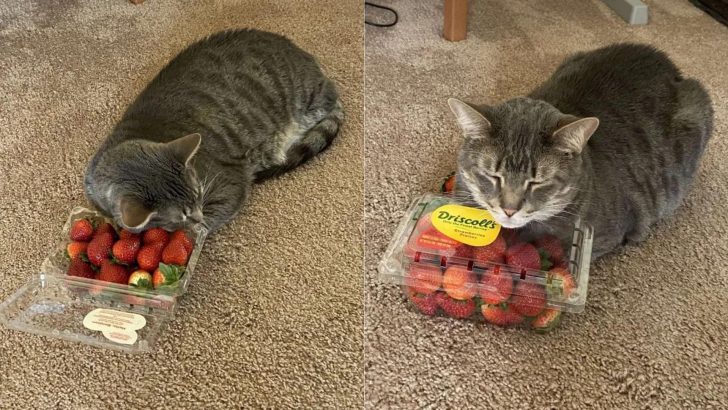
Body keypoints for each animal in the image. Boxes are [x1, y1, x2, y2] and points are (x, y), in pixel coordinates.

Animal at [84, 28, 342, 234]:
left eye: (199, 193)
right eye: (183, 214)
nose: (198, 216)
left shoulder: (229, 182)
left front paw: (196, 230)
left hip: (306, 102)